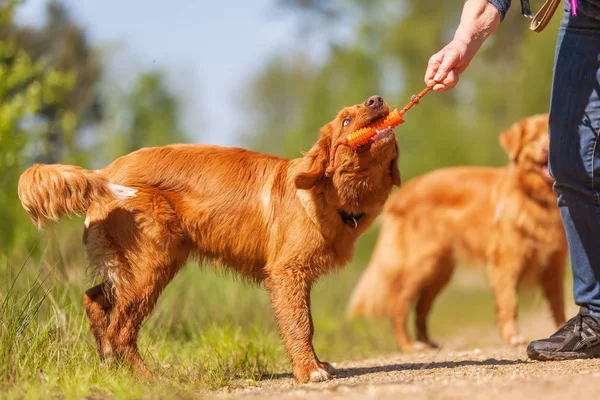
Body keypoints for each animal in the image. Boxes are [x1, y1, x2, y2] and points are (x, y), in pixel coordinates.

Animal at [18, 95, 400, 382]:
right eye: (346, 121)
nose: (376, 99)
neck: (328, 194)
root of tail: (105, 172)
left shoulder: (297, 279)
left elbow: (307, 323)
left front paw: (317, 364)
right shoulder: (286, 274)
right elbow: (300, 325)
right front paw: (309, 371)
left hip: (131, 269)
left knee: (94, 300)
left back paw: (109, 363)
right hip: (150, 269)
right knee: (121, 331)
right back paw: (148, 379)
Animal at [346, 114, 568, 352]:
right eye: (533, 139)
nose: (547, 149)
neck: (536, 199)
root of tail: (399, 196)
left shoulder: (554, 265)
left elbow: (559, 304)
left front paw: (561, 332)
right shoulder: (506, 262)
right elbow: (509, 302)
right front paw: (513, 337)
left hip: (439, 271)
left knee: (421, 309)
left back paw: (428, 342)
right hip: (420, 266)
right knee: (398, 306)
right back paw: (409, 345)